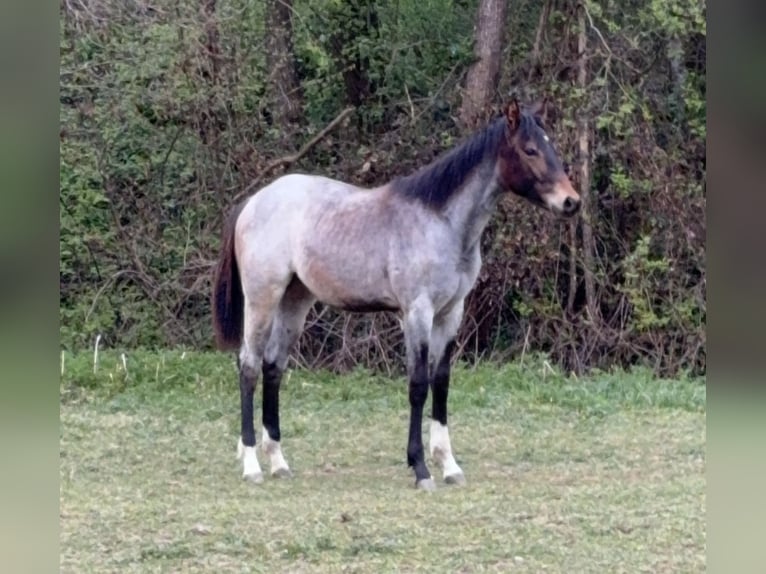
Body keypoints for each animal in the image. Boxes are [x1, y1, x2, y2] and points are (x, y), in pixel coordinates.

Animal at [212, 98, 581, 491]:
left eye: (549, 145)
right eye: (530, 149)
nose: (571, 202)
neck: (441, 223)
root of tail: (254, 201)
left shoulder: (451, 314)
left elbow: (441, 382)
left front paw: (448, 465)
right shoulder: (417, 313)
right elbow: (418, 384)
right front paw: (420, 468)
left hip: (295, 302)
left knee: (273, 367)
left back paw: (278, 461)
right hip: (262, 299)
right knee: (249, 366)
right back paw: (252, 464)